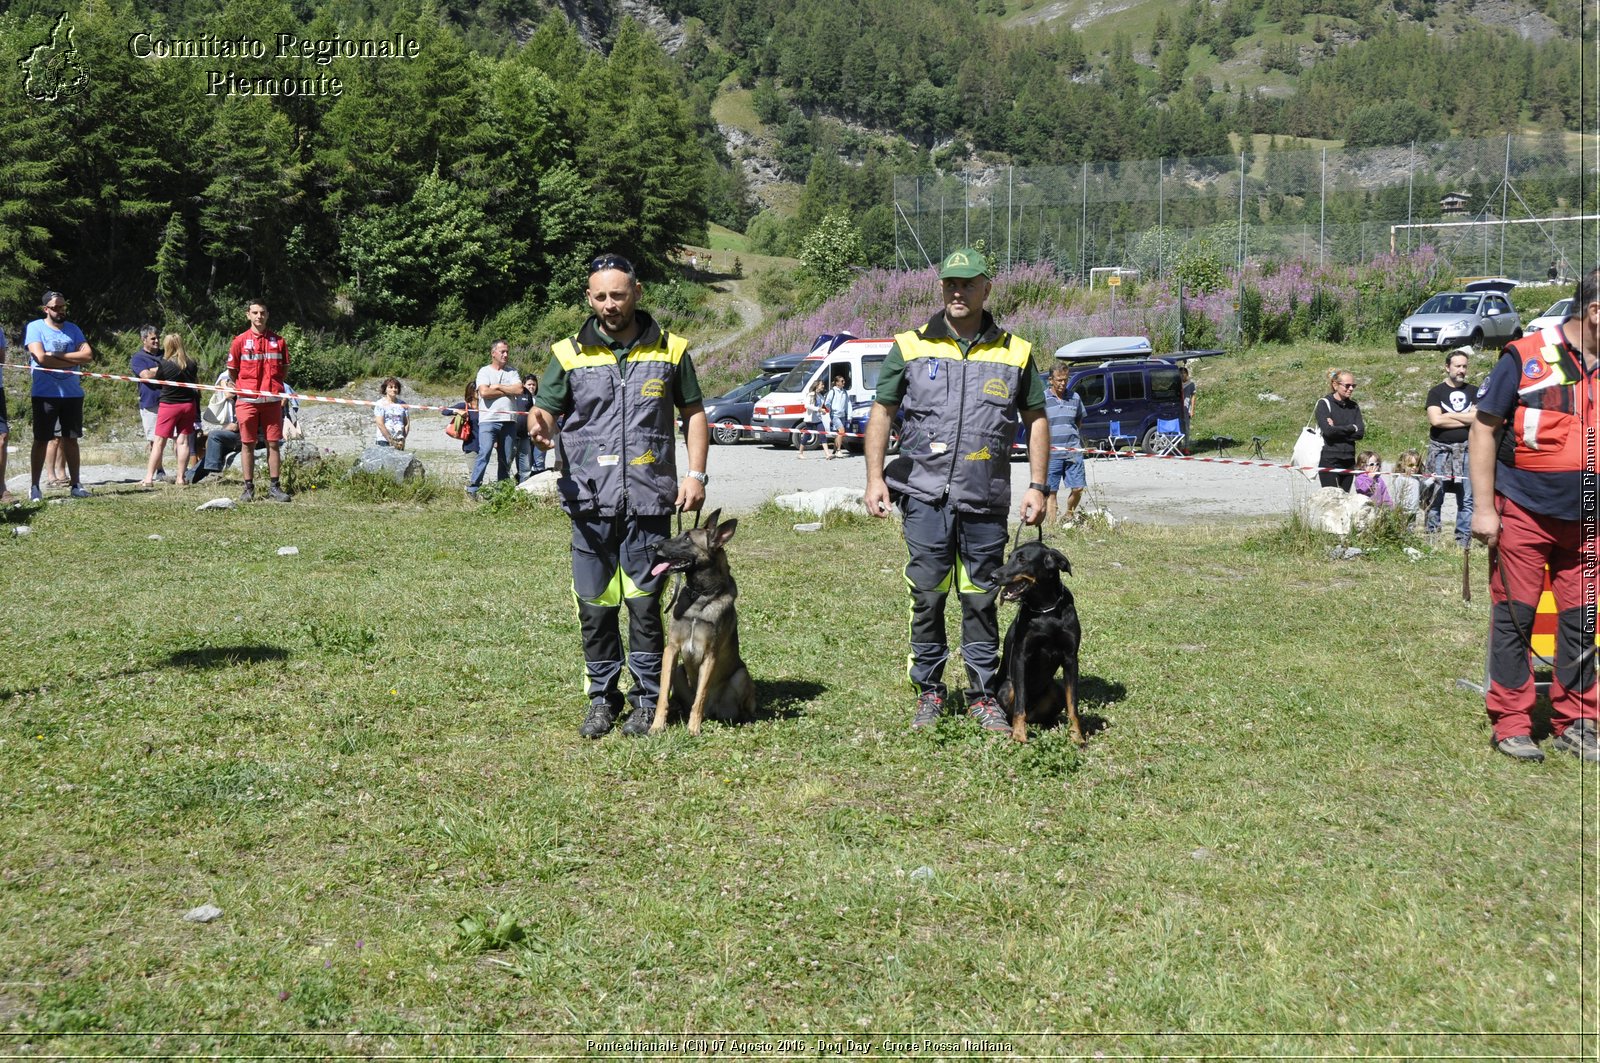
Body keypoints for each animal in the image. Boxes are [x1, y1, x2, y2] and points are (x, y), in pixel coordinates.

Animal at [992, 544, 1081, 742]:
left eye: (1022, 560)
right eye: (1009, 557)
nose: (992, 576)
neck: (1046, 610)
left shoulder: (1071, 658)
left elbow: (1073, 704)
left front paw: (1077, 736)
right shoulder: (1021, 657)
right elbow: (1019, 705)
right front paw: (1019, 735)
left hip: (1056, 690)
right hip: (1008, 687)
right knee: (1014, 709)